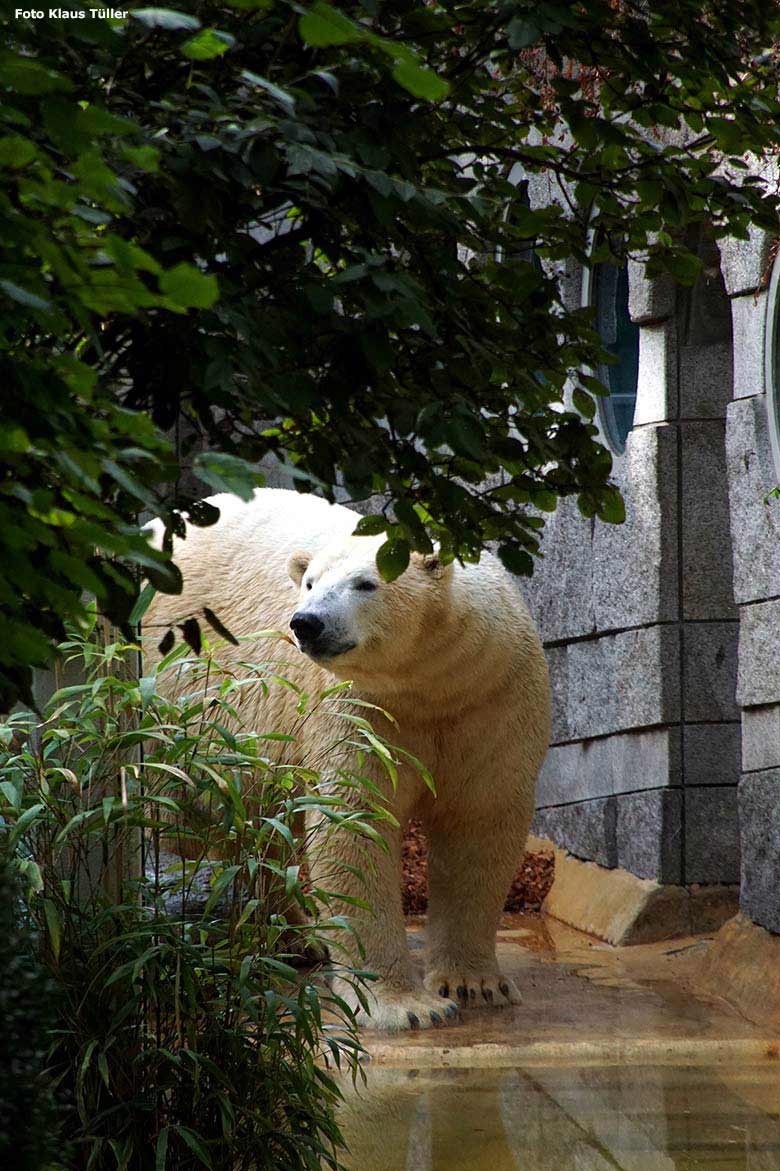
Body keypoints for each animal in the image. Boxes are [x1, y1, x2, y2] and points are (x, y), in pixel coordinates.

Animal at [144, 489, 545, 1030]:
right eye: (310, 582)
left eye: (365, 583)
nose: (305, 622)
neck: (431, 684)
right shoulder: (362, 708)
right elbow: (355, 827)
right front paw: (406, 1006)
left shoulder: (492, 697)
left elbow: (480, 819)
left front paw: (474, 985)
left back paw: (295, 938)